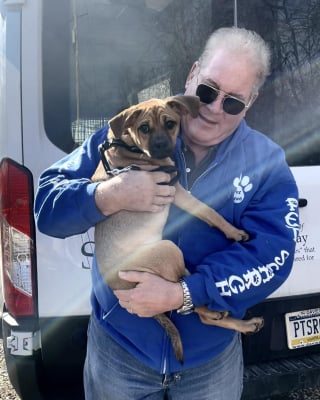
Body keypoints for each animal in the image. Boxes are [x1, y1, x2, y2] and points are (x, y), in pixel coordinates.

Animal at [92, 96, 262, 362]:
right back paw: (217, 313)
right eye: (144, 128)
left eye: (170, 124)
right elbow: (209, 211)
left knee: (192, 298)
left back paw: (246, 324)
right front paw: (234, 232)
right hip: (168, 250)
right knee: (188, 302)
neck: (128, 145)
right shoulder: (175, 190)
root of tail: (119, 285)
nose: (162, 146)